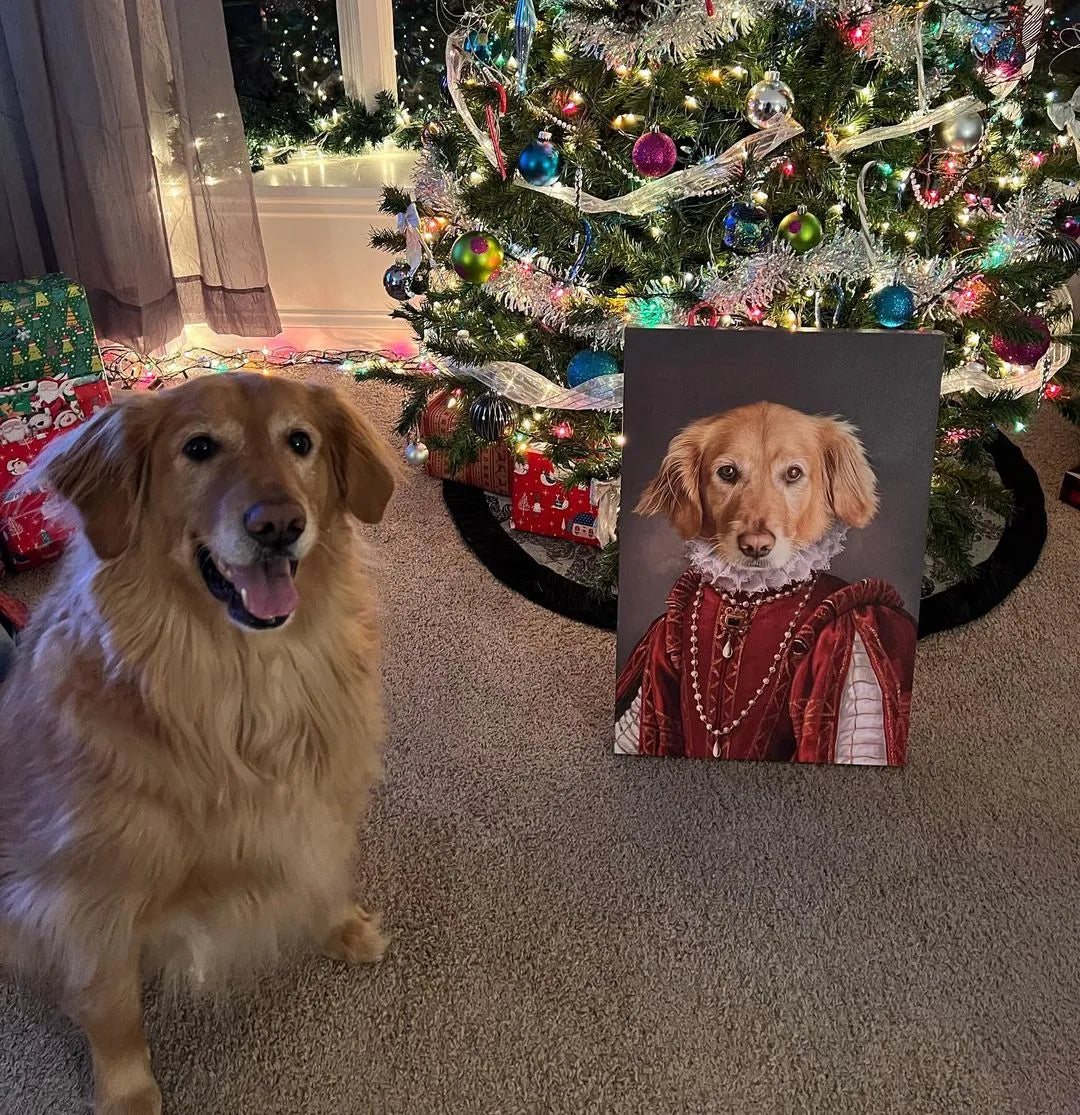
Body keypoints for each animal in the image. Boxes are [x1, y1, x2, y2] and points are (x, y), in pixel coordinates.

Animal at [0, 376, 396, 1115]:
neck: (242, 683)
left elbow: (325, 868)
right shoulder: (90, 894)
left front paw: (341, 925)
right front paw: (128, 1092)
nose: (279, 523)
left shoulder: (324, 802)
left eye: (300, 442)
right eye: (200, 448)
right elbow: (112, 1007)